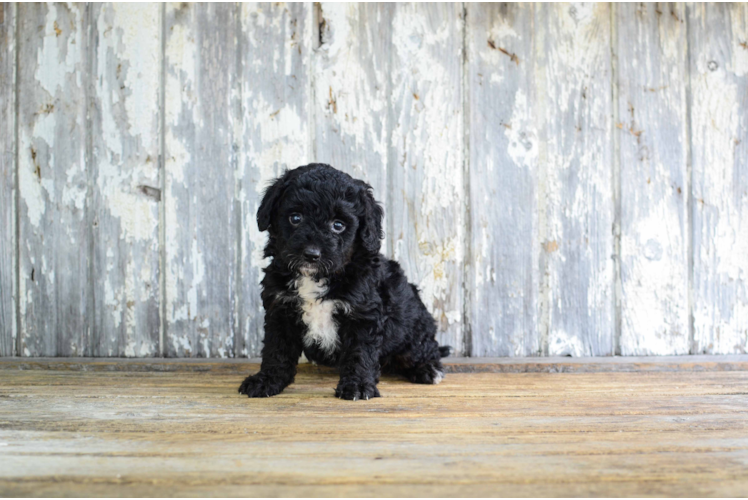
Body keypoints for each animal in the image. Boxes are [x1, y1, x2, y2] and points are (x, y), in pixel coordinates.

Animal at [240, 164, 450, 402]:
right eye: (295, 218)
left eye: (338, 225)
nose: (311, 254)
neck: (318, 277)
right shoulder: (280, 310)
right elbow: (276, 350)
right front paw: (267, 380)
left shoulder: (363, 315)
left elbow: (360, 353)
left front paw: (357, 386)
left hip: (413, 326)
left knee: (421, 349)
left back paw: (428, 369)